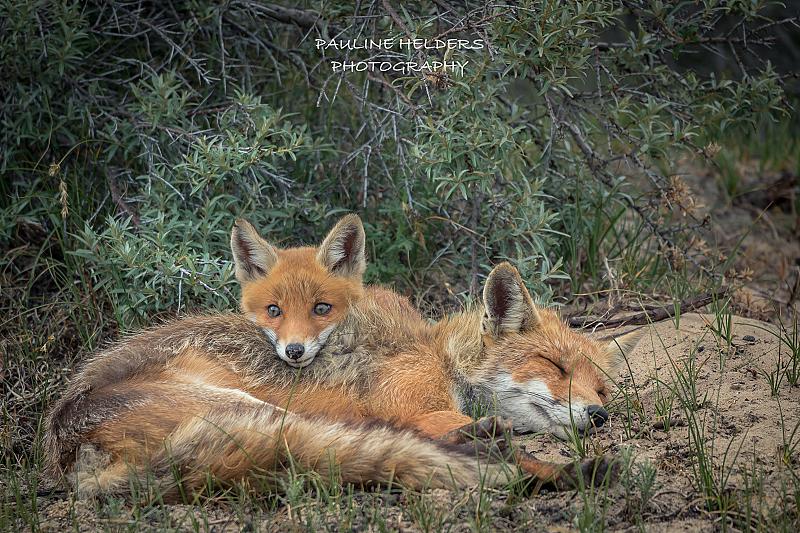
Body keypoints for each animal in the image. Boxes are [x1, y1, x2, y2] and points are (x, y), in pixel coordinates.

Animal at [44, 215, 609, 500]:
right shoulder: (415, 406)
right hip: (259, 410)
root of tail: (65, 448)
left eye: (602, 385)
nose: (600, 414)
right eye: (555, 366)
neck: (443, 355)